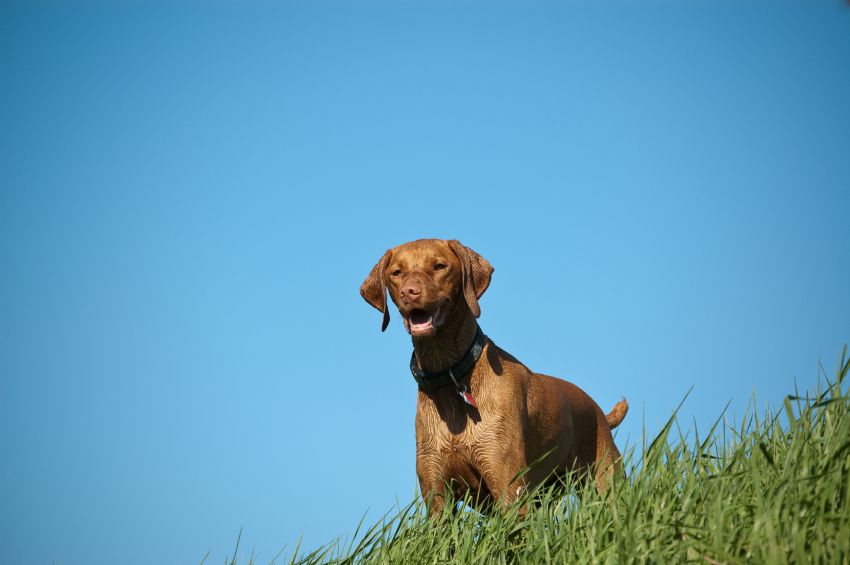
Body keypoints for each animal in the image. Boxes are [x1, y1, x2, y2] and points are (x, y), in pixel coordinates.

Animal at [358, 238, 624, 516]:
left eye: (439, 266)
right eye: (396, 272)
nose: (409, 292)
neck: (451, 377)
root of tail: (601, 413)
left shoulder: (508, 486)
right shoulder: (437, 494)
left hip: (606, 482)